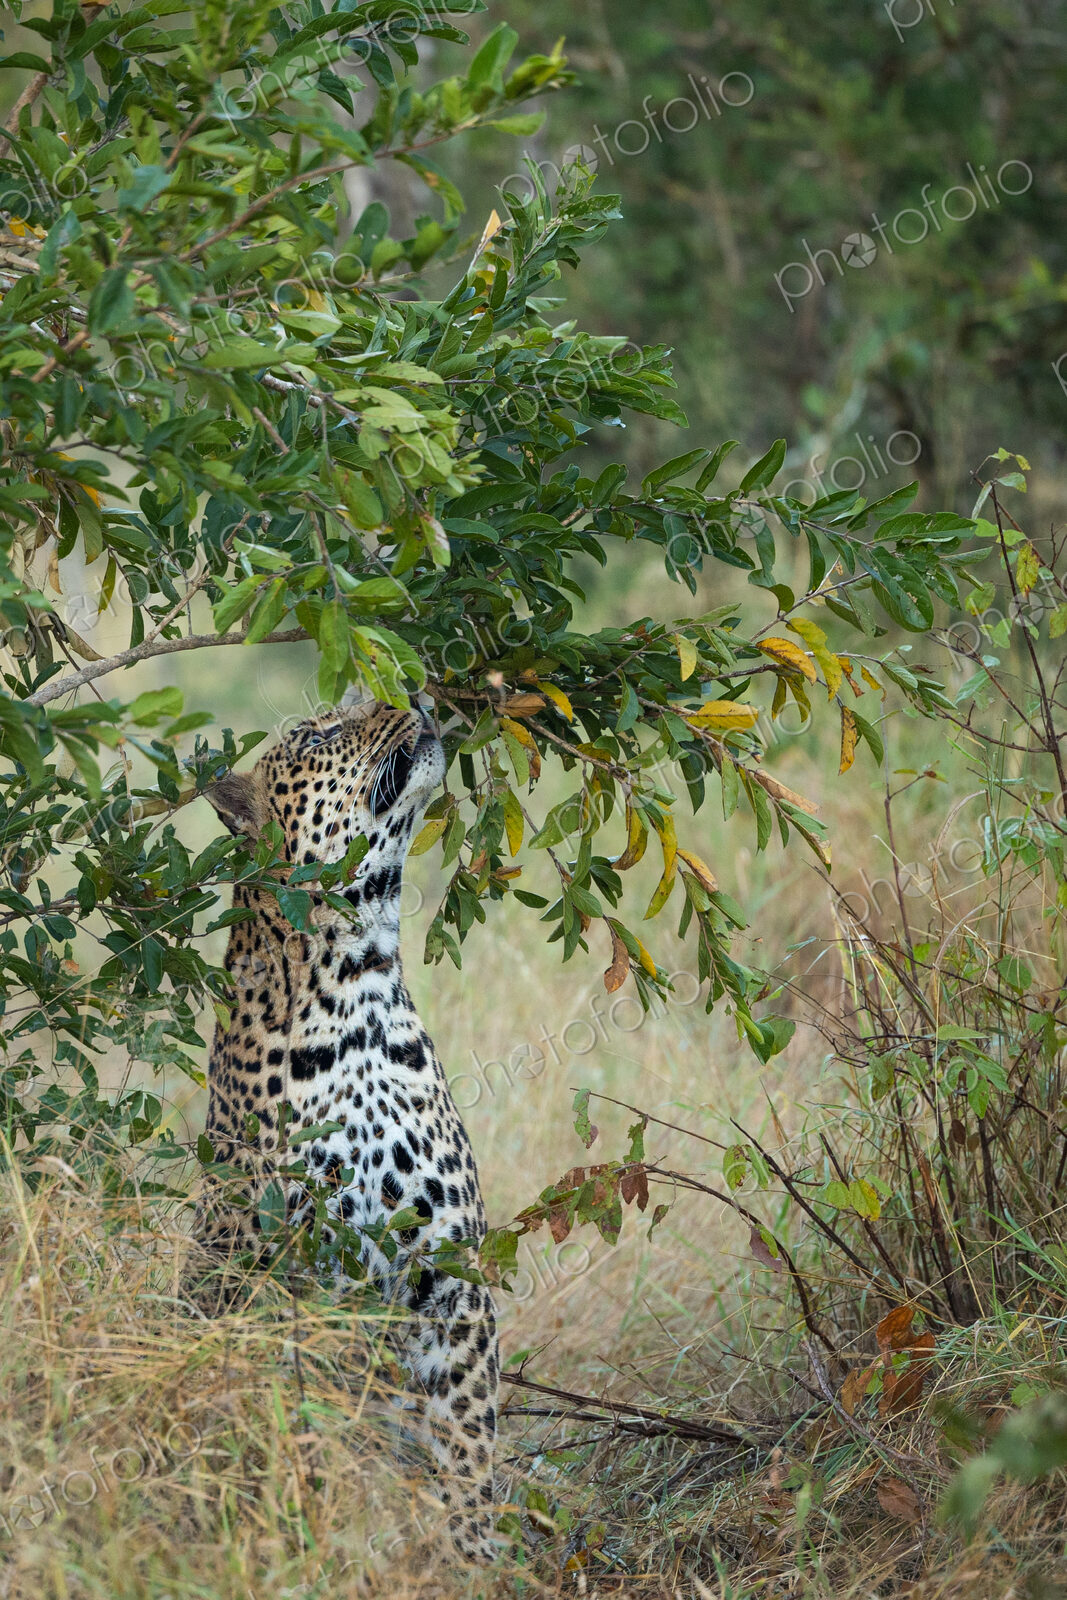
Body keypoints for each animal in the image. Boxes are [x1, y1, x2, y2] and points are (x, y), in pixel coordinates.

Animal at [190, 697, 499, 1565]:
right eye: (322, 733)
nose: (416, 697)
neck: (356, 982)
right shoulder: (282, 1276)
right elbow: (305, 1429)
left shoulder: (447, 1271)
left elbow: (466, 1437)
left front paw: (474, 1554)